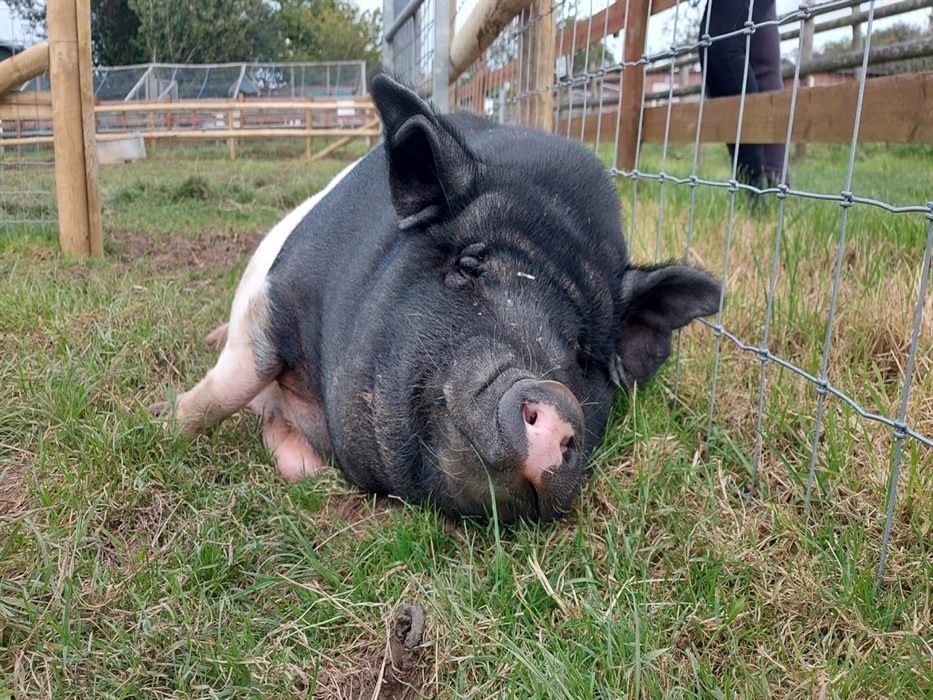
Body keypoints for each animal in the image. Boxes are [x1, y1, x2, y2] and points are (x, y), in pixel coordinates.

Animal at [150, 74, 721, 522]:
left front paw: (307, 469)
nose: (556, 401)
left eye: (585, 353)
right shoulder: (280, 295)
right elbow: (229, 386)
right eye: (468, 266)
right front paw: (158, 423)